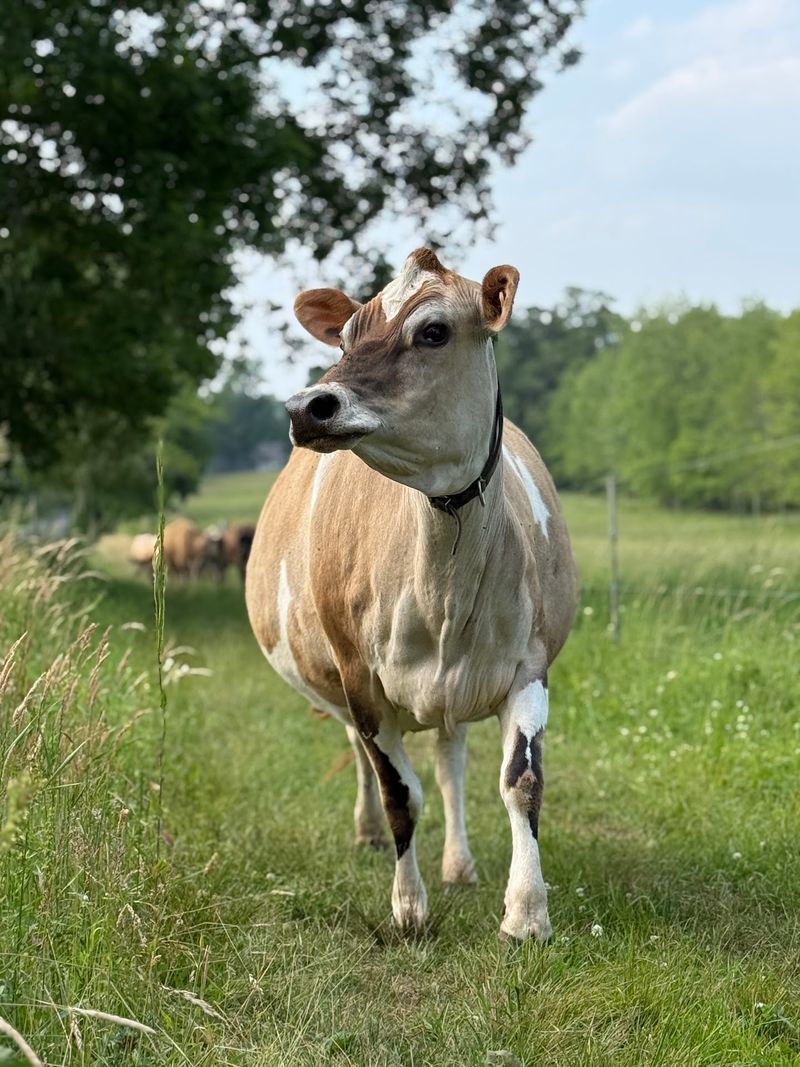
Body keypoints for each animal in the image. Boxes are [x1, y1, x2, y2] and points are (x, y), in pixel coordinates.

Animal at [246, 248, 578, 941]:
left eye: (433, 331)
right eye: (346, 336)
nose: (307, 406)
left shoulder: (530, 664)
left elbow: (522, 781)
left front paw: (526, 913)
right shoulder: (359, 678)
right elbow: (400, 792)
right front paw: (408, 908)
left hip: (454, 690)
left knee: (451, 760)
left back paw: (460, 864)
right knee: (367, 754)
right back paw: (371, 833)